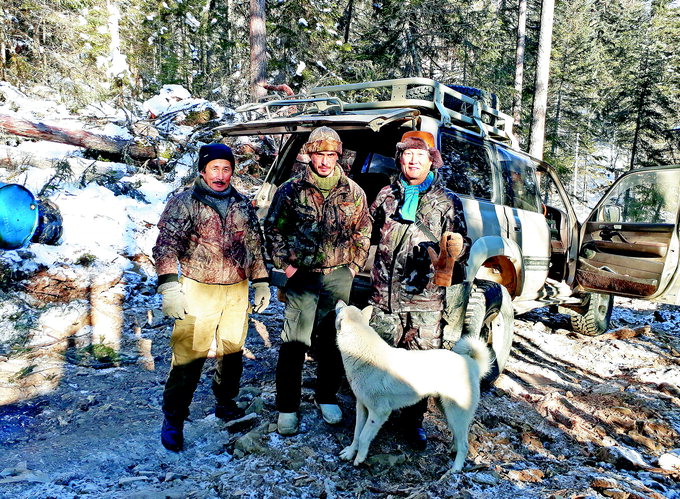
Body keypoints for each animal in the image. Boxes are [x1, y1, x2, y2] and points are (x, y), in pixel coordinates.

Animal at [334, 300, 488, 472]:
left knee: (464, 444)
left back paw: (455, 469)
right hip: (447, 410)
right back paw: (452, 451)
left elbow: (363, 437)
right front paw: (349, 453)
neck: (361, 350)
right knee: (458, 436)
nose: (339, 301)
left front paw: (359, 458)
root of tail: (471, 363)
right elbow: (356, 434)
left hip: (456, 413)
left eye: (341, 309)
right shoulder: (362, 407)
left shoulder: (379, 413)